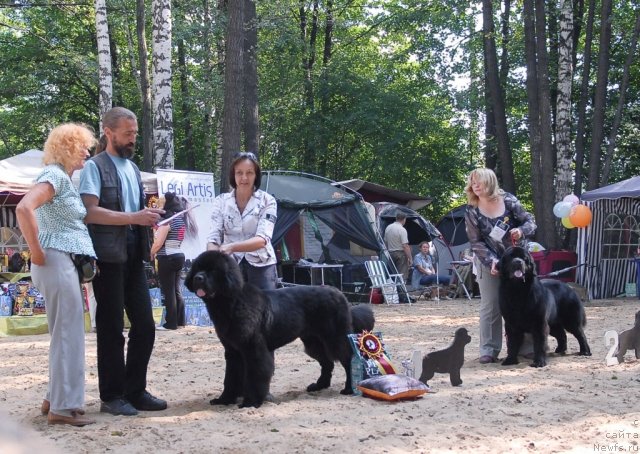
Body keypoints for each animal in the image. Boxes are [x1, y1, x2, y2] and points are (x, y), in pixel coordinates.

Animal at [185, 250, 376, 410]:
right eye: (198, 268)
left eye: (212, 271)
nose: (198, 278)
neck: (230, 302)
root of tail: (339, 293)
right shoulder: (233, 351)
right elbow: (230, 377)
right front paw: (224, 399)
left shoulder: (253, 349)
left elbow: (254, 376)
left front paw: (251, 402)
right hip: (313, 341)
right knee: (327, 363)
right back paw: (319, 386)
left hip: (336, 338)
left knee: (349, 359)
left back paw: (349, 388)